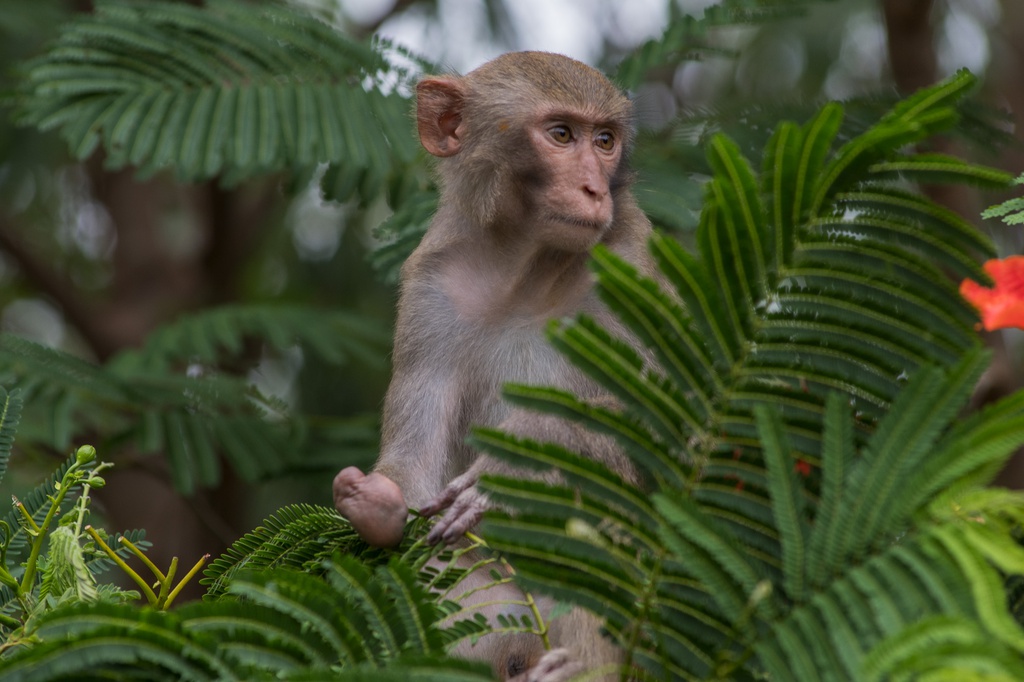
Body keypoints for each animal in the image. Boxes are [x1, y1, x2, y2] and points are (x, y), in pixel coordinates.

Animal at [335, 50, 655, 675]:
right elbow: (416, 468)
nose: (594, 190)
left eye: (605, 140)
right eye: (561, 134)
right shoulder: (433, 288)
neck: (525, 273)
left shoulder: (633, 263)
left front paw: (515, 463)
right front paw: (379, 507)